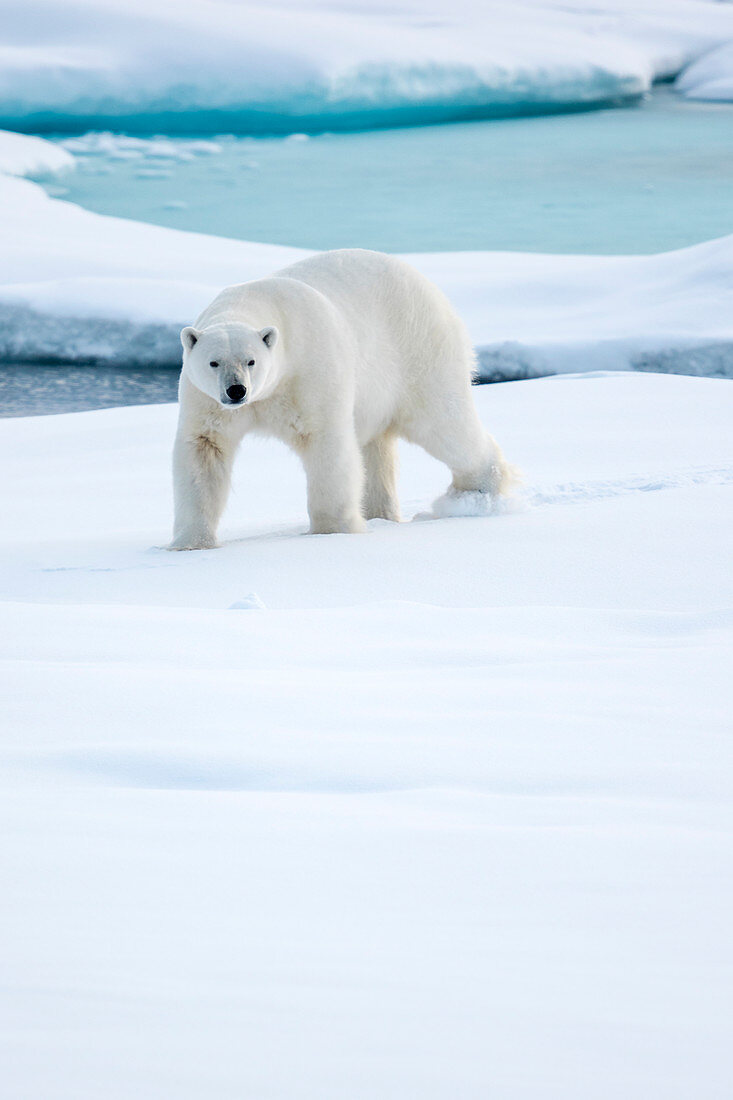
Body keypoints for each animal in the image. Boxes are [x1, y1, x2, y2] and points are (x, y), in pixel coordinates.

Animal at [168, 245, 510, 545]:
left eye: (251, 361)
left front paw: (332, 531)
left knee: (443, 424)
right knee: (377, 449)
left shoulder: (309, 372)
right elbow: (204, 451)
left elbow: (326, 443)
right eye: (214, 362)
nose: (236, 390)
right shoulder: (206, 401)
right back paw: (379, 513)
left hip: (420, 352)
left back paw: (476, 495)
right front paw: (192, 542)